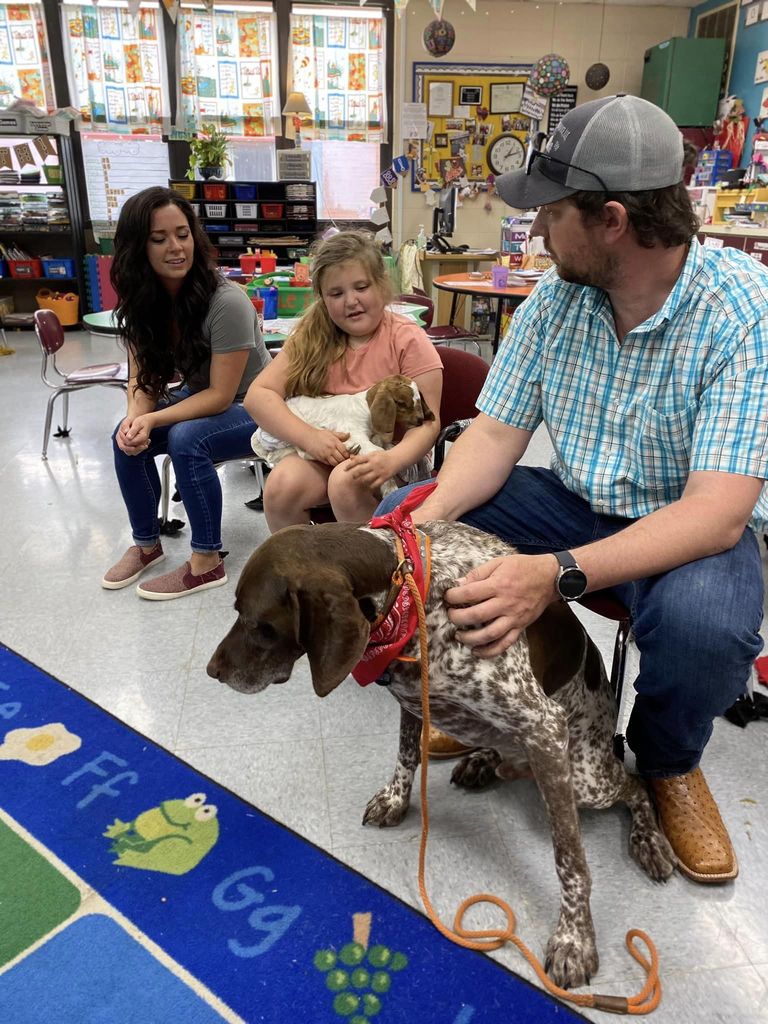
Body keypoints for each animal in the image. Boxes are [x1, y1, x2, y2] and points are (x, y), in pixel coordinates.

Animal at [207, 524, 675, 987]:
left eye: (260, 624)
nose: (212, 671)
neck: (410, 597)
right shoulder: (414, 699)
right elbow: (405, 755)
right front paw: (395, 800)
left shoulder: (543, 725)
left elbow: (570, 860)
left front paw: (574, 938)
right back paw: (482, 761)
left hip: (584, 778)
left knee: (635, 784)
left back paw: (649, 840)